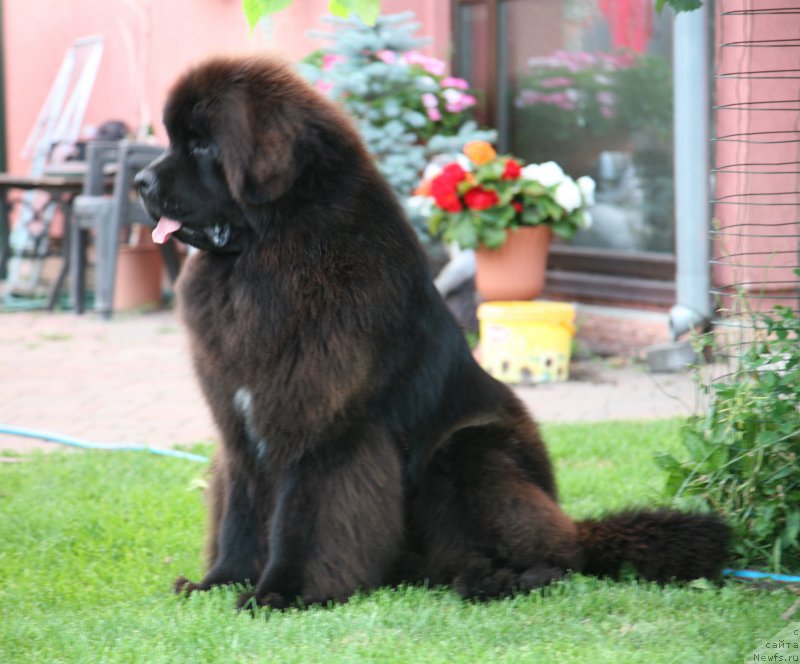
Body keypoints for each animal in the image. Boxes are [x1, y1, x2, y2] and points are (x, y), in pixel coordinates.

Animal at [138, 54, 732, 608]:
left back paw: (500, 579)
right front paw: (218, 583)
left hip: (469, 449)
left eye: (203, 147)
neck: (271, 256)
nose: (141, 181)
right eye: (175, 141)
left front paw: (281, 593)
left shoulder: (326, 429)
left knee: (559, 556)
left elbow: (301, 518)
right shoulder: (239, 424)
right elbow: (238, 513)